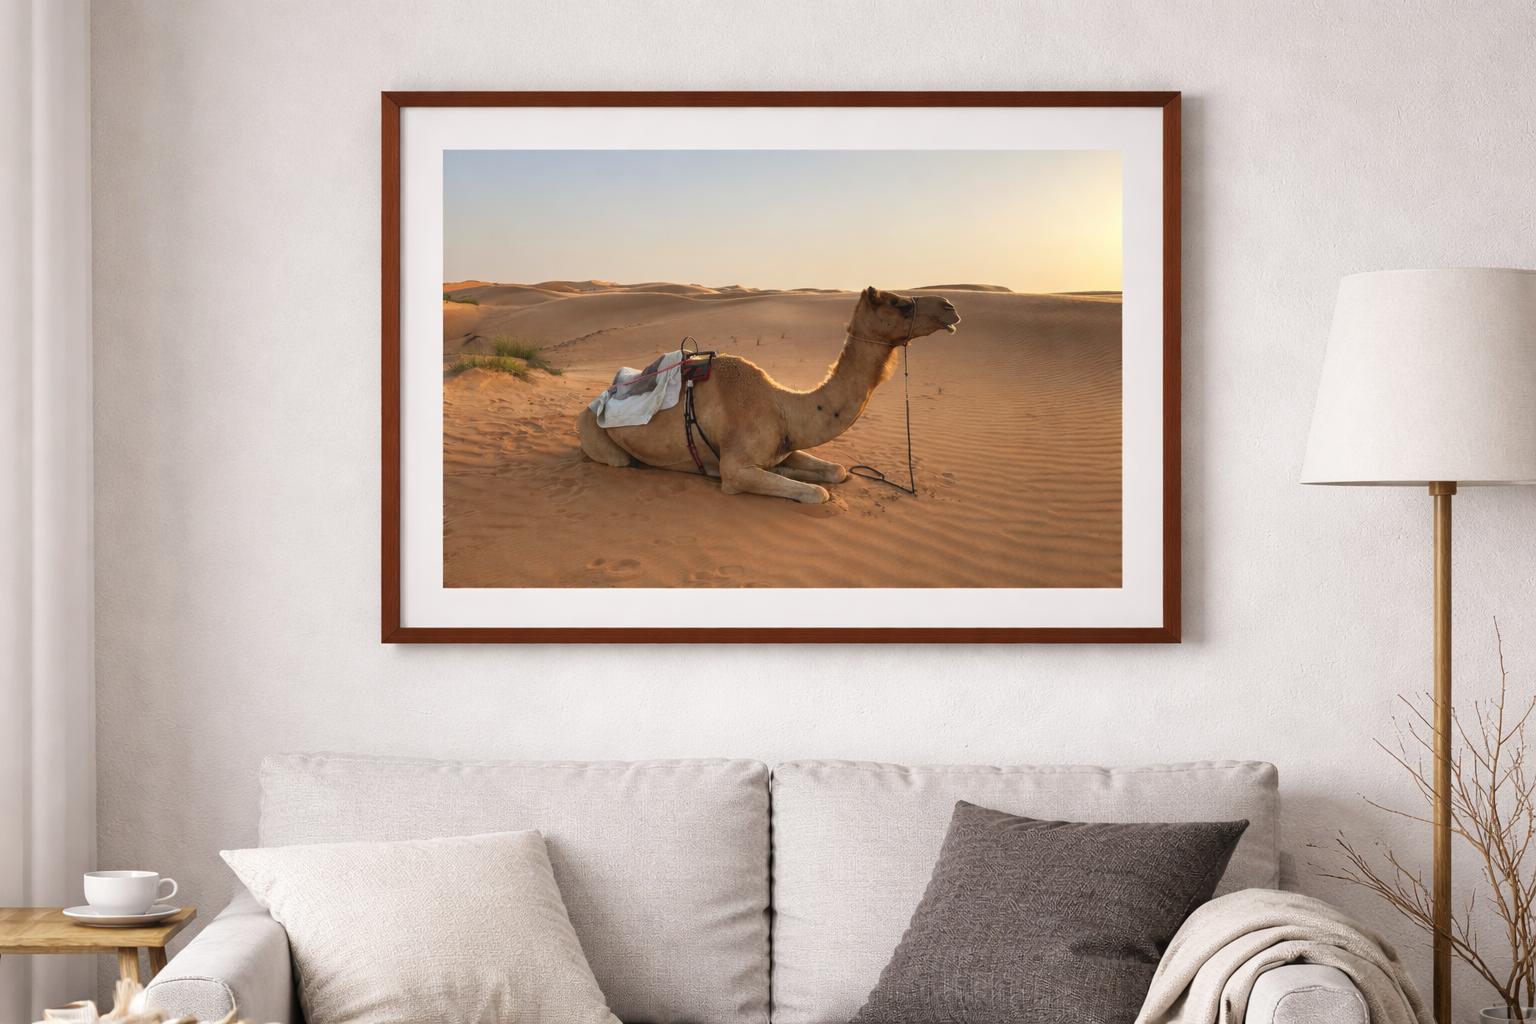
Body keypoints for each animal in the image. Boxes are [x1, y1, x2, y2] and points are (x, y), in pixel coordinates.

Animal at [576, 286, 960, 504]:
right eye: (899, 303)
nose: (949, 306)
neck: (784, 406)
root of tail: (592, 403)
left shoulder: (784, 445)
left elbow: (837, 471)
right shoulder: (734, 470)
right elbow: (818, 493)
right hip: (600, 439)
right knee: (621, 460)